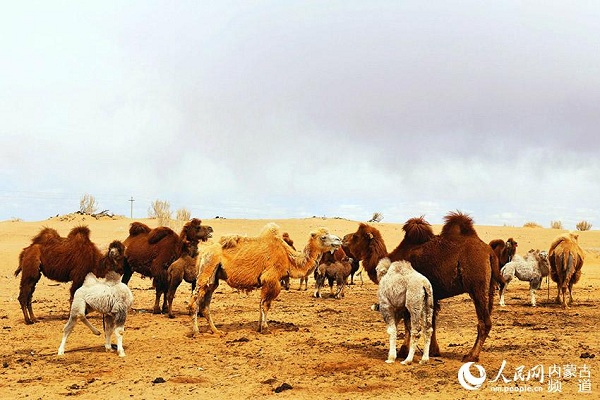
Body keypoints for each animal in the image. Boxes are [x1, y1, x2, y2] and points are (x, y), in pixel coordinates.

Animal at [190, 223, 340, 336]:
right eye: (323, 237)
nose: (338, 240)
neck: (288, 257)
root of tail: (202, 253)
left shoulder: (266, 283)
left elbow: (260, 304)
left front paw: (259, 327)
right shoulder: (271, 279)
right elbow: (266, 305)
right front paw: (266, 328)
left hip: (213, 279)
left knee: (205, 305)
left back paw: (216, 331)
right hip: (207, 269)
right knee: (194, 302)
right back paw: (196, 331)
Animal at [344, 212, 504, 362]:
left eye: (356, 236)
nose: (344, 239)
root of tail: (489, 252)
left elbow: (408, 323)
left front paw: (403, 351)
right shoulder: (432, 296)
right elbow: (431, 322)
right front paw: (433, 351)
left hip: (477, 287)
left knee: (484, 322)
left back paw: (471, 355)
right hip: (490, 288)